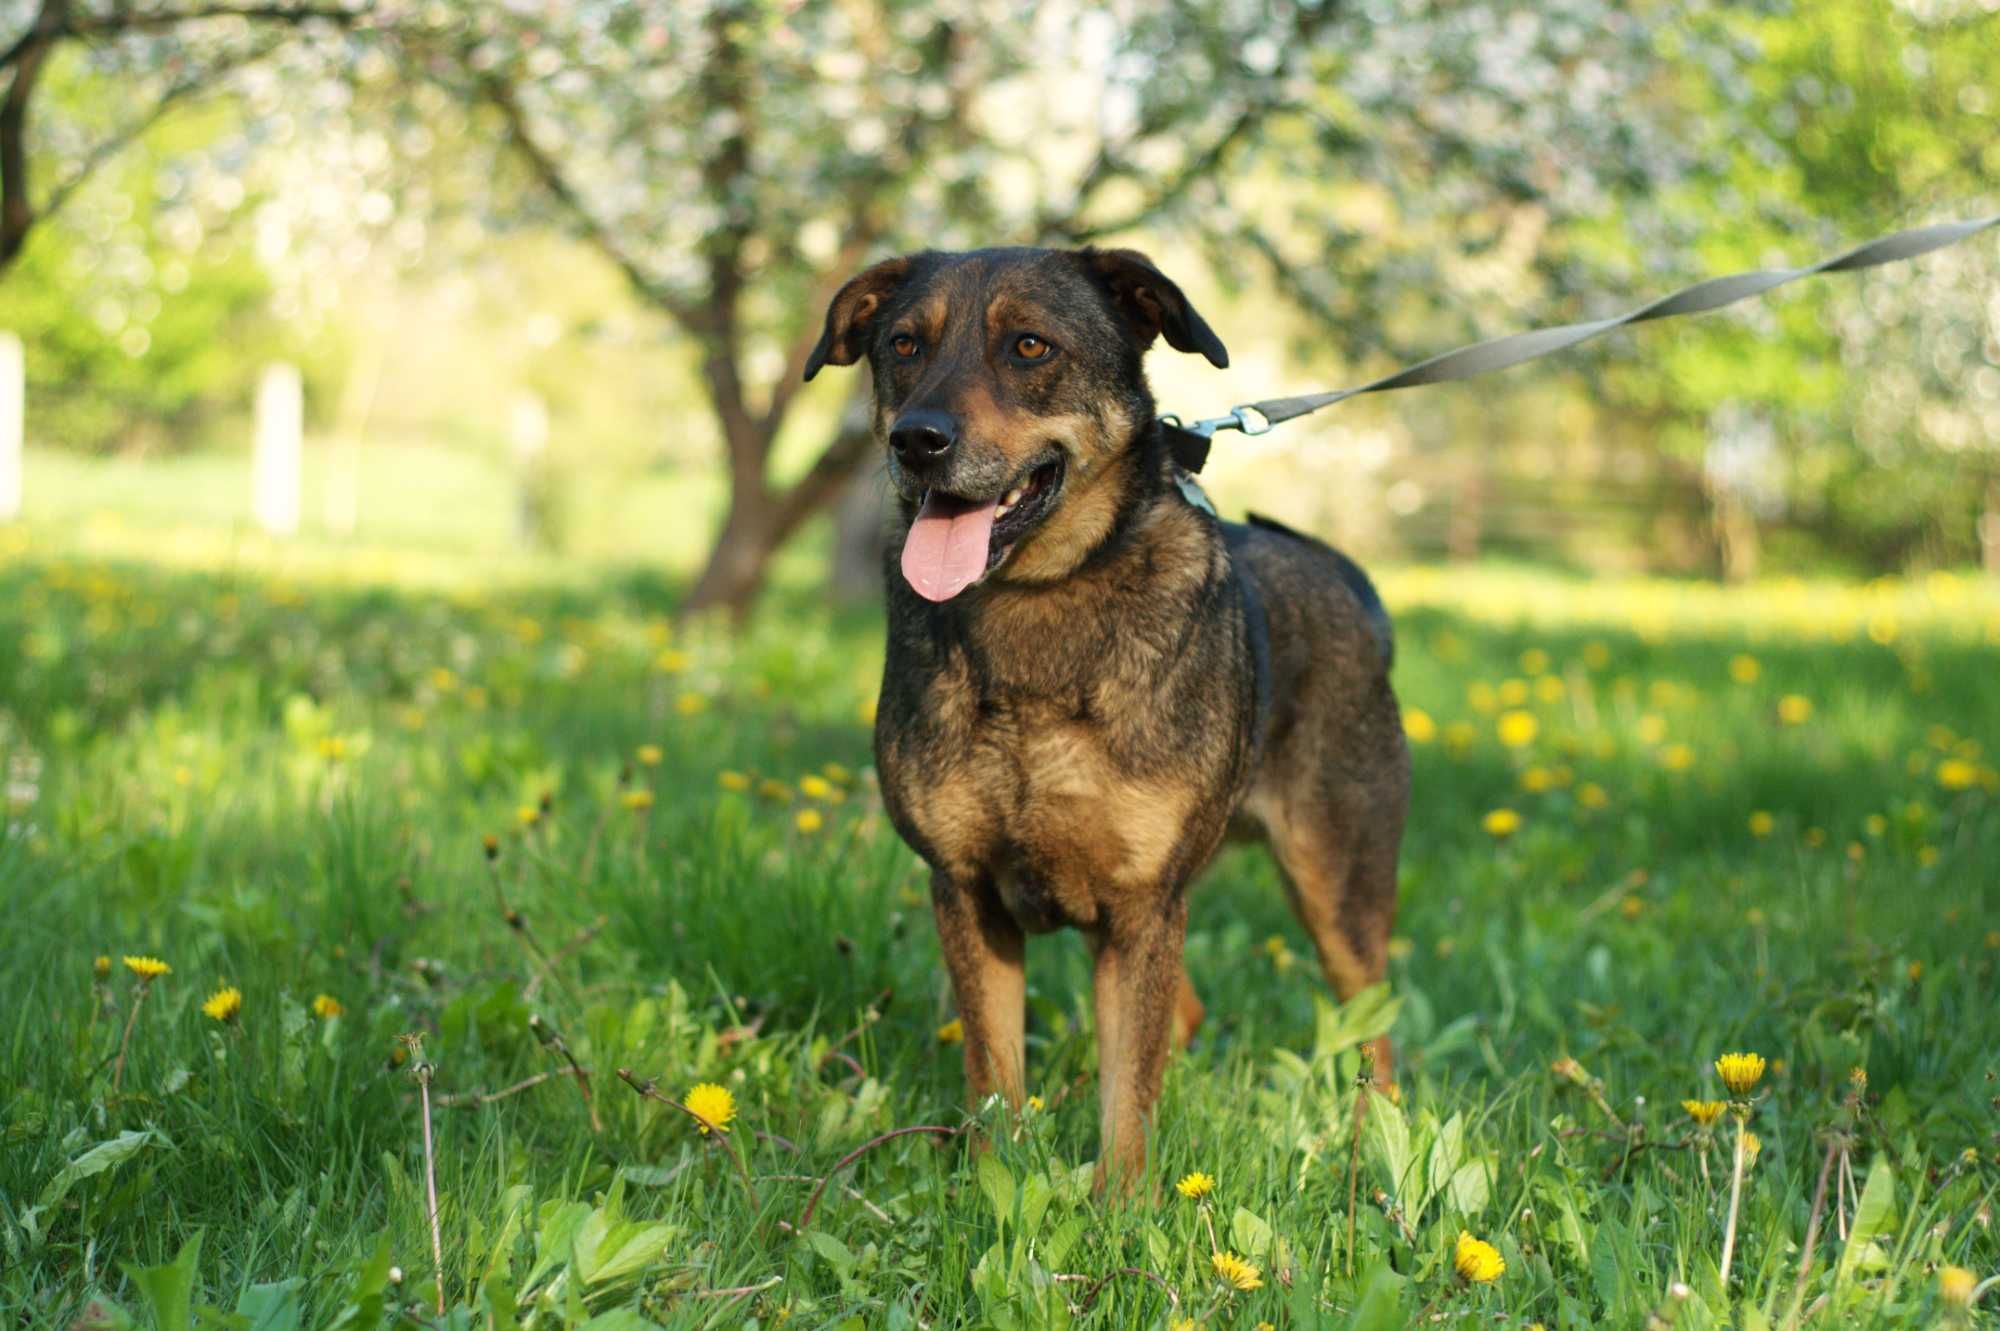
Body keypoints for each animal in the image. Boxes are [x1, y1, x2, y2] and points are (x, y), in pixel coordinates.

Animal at [804, 248, 1416, 1191]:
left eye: (1030, 345)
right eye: (903, 344)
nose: (918, 440)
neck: (1036, 601)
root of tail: (1350, 579)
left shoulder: (1140, 903)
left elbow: (1130, 1091)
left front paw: (1122, 1206)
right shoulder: (968, 889)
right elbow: (996, 1072)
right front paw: (997, 1182)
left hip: (1338, 874)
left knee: (1370, 1032)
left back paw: (1374, 1151)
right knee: (1186, 1014)